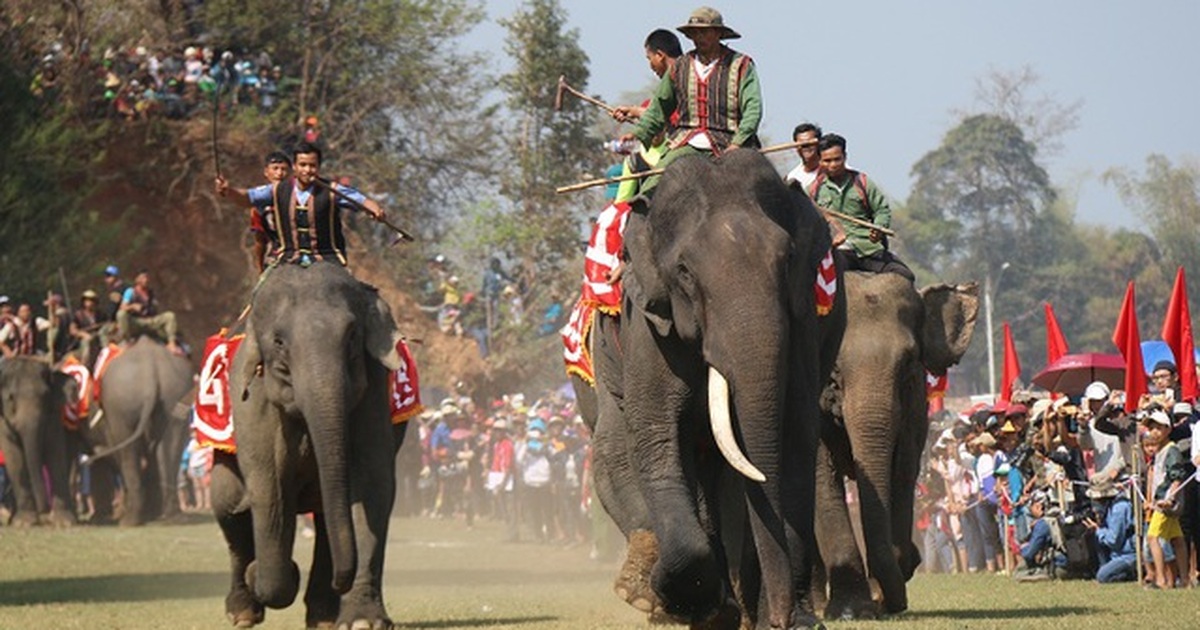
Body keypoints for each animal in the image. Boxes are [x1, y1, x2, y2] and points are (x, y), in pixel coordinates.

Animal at [0, 352, 75, 525]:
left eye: (45, 396)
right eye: (11, 398)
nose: (44, 511)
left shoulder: (53, 415)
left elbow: (56, 455)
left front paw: (64, 522)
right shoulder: (2, 421)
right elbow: (14, 458)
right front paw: (24, 522)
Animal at [82, 333, 195, 525]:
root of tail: (150, 371)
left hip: (120, 405)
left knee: (128, 452)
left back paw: (128, 521)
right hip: (175, 394)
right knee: (170, 445)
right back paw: (172, 518)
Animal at [211, 261, 403, 628]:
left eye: (352, 336)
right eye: (279, 341)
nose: (342, 583)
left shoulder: (373, 387)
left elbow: (371, 483)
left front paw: (362, 621)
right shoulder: (253, 400)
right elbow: (269, 487)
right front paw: (264, 576)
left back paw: (323, 616)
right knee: (227, 504)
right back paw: (243, 610)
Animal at [585, 148, 849, 628]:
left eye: (787, 259)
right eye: (684, 272)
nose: (782, 619)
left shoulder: (801, 318)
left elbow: (793, 434)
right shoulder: (649, 324)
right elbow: (656, 437)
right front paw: (672, 601)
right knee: (612, 450)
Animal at [811, 272, 979, 614]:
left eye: (908, 362)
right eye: (833, 367)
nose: (888, 601)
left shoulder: (914, 408)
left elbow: (901, 471)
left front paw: (893, 578)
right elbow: (821, 477)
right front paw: (853, 610)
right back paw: (817, 606)